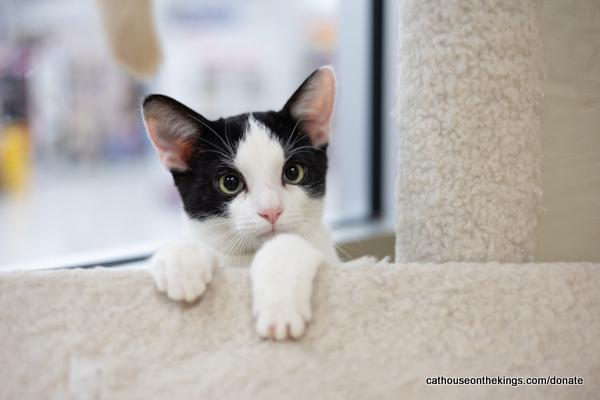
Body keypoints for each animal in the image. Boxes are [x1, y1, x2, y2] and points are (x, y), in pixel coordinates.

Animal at [141, 66, 338, 340]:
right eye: (230, 183)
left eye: (293, 172)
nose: (271, 211)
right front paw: (181, 262)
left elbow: (287, 243)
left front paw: (280, 308)